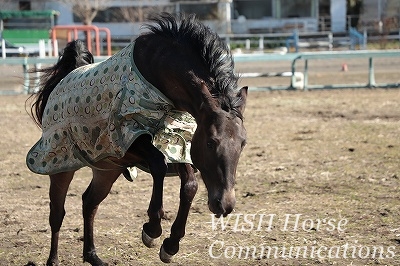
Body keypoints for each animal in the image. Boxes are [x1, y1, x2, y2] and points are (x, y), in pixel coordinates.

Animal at [26, 13, 247, 266]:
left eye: (242, 144)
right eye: (211, 141)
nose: (225, 204)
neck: (158, 72)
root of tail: (64, 79)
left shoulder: (176, 141)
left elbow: (190, 185)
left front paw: (171, 244)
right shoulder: (129, 135)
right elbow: (159, 165)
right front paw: (152, 228)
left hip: (107, 168)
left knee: (89, 203)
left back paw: (93, 256)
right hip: (60, 164)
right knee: (57, 213)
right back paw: (53, 259)